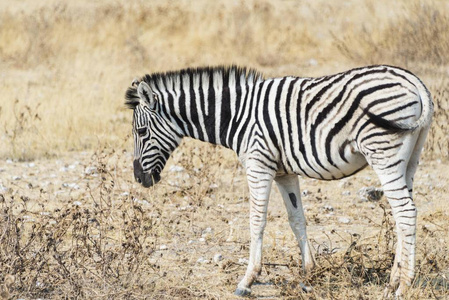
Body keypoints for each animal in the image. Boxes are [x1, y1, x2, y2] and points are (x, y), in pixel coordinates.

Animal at [124, 64, 432, 296]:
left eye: (140, 131)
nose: (139, 178)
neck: (235, 115)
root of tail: (414, 80)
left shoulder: (258, 164)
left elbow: (256, 220)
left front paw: (247, 280)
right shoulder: (285, 172)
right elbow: (297, 220)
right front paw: (309, 273)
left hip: (383, 151)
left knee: (406, 212)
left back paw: (403, 286)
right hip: (410, 158)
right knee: (402, 215)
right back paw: (393, 280)